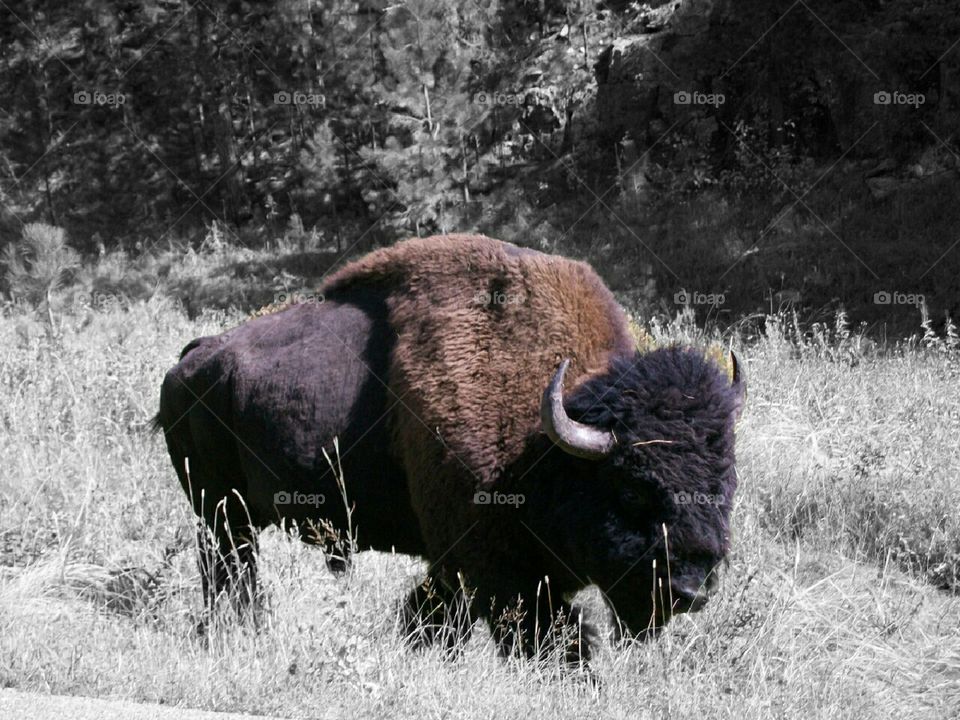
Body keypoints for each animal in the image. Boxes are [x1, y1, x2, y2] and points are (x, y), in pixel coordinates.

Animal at [154, 234, 744, 663]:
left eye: (724, 483)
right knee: (232, 573)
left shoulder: (456, 561)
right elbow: (545, 633)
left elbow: (434, 613)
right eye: (632, 488)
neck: (547, 448)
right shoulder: (492, 563)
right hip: (220, 513)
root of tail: (189, 362)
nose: (690, 588)